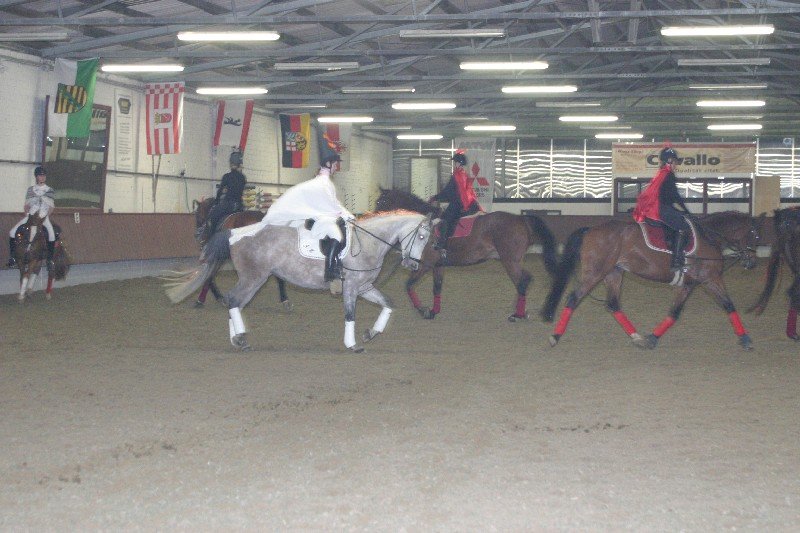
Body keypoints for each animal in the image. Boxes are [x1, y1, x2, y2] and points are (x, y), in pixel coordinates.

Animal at [165, 210, 433, 352]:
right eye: (421, 236)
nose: (413, 265)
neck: (366, 242)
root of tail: (235, 232)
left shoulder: (365, 287)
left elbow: (388, 303)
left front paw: (371, 333)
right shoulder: (352, 287)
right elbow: (350, 315)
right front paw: (352, 344)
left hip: (253, 278)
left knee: (235, 302)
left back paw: (237, 340)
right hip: (254, 278)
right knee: (233, 300)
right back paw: (240, 338)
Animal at [374, 188, 558, 321]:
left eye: (381, 202)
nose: (374, 217)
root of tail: (521, 220)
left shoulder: (426, 265)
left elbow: (409, 285)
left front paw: (423, 310)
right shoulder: (438, 265)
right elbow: (436, 287)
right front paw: (433, 311)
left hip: (510, 261)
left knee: (522, 281)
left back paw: (517, 314)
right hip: (513, 261)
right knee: (524, 281)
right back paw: (519, 311)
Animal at [540, 215, 753, 350]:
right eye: (755, 234)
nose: (751, 262)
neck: (709, 239)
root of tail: (590, 229)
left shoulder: (690, 284)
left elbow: (676, 312)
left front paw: (651, 338)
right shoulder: (711, 278)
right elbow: (728, 305)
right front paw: (746, 339)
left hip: (613, 273)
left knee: (613, 304)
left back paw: (637, 337)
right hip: (596, 273)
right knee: (574, 298)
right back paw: (554, 336)